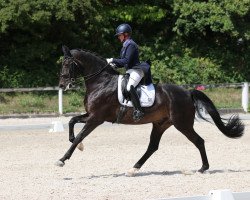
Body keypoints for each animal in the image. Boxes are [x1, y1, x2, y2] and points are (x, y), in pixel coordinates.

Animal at [56, 45, 244, 175]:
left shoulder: (97, 118)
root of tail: (187, 92)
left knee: (199, 141)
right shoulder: (91, 115)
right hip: (160, 124)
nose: (62, 85)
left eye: (68, 64)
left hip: (182, 124)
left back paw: (203, 168)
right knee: (153, 146)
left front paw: (62, 159)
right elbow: (72, 122)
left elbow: (80, 135)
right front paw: (78, 145)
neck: (101, 82)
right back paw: (133, 169)